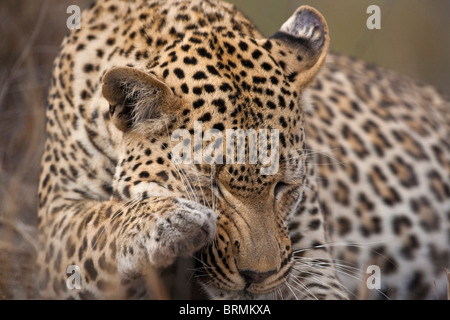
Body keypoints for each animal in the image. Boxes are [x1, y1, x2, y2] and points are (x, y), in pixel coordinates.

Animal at [37, 0, 448, 300]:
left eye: (283, 187)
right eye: (209, 187)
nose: (257, 276)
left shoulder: (312, 262)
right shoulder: (56, 222)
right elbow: (99, 223)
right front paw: (171, 220)